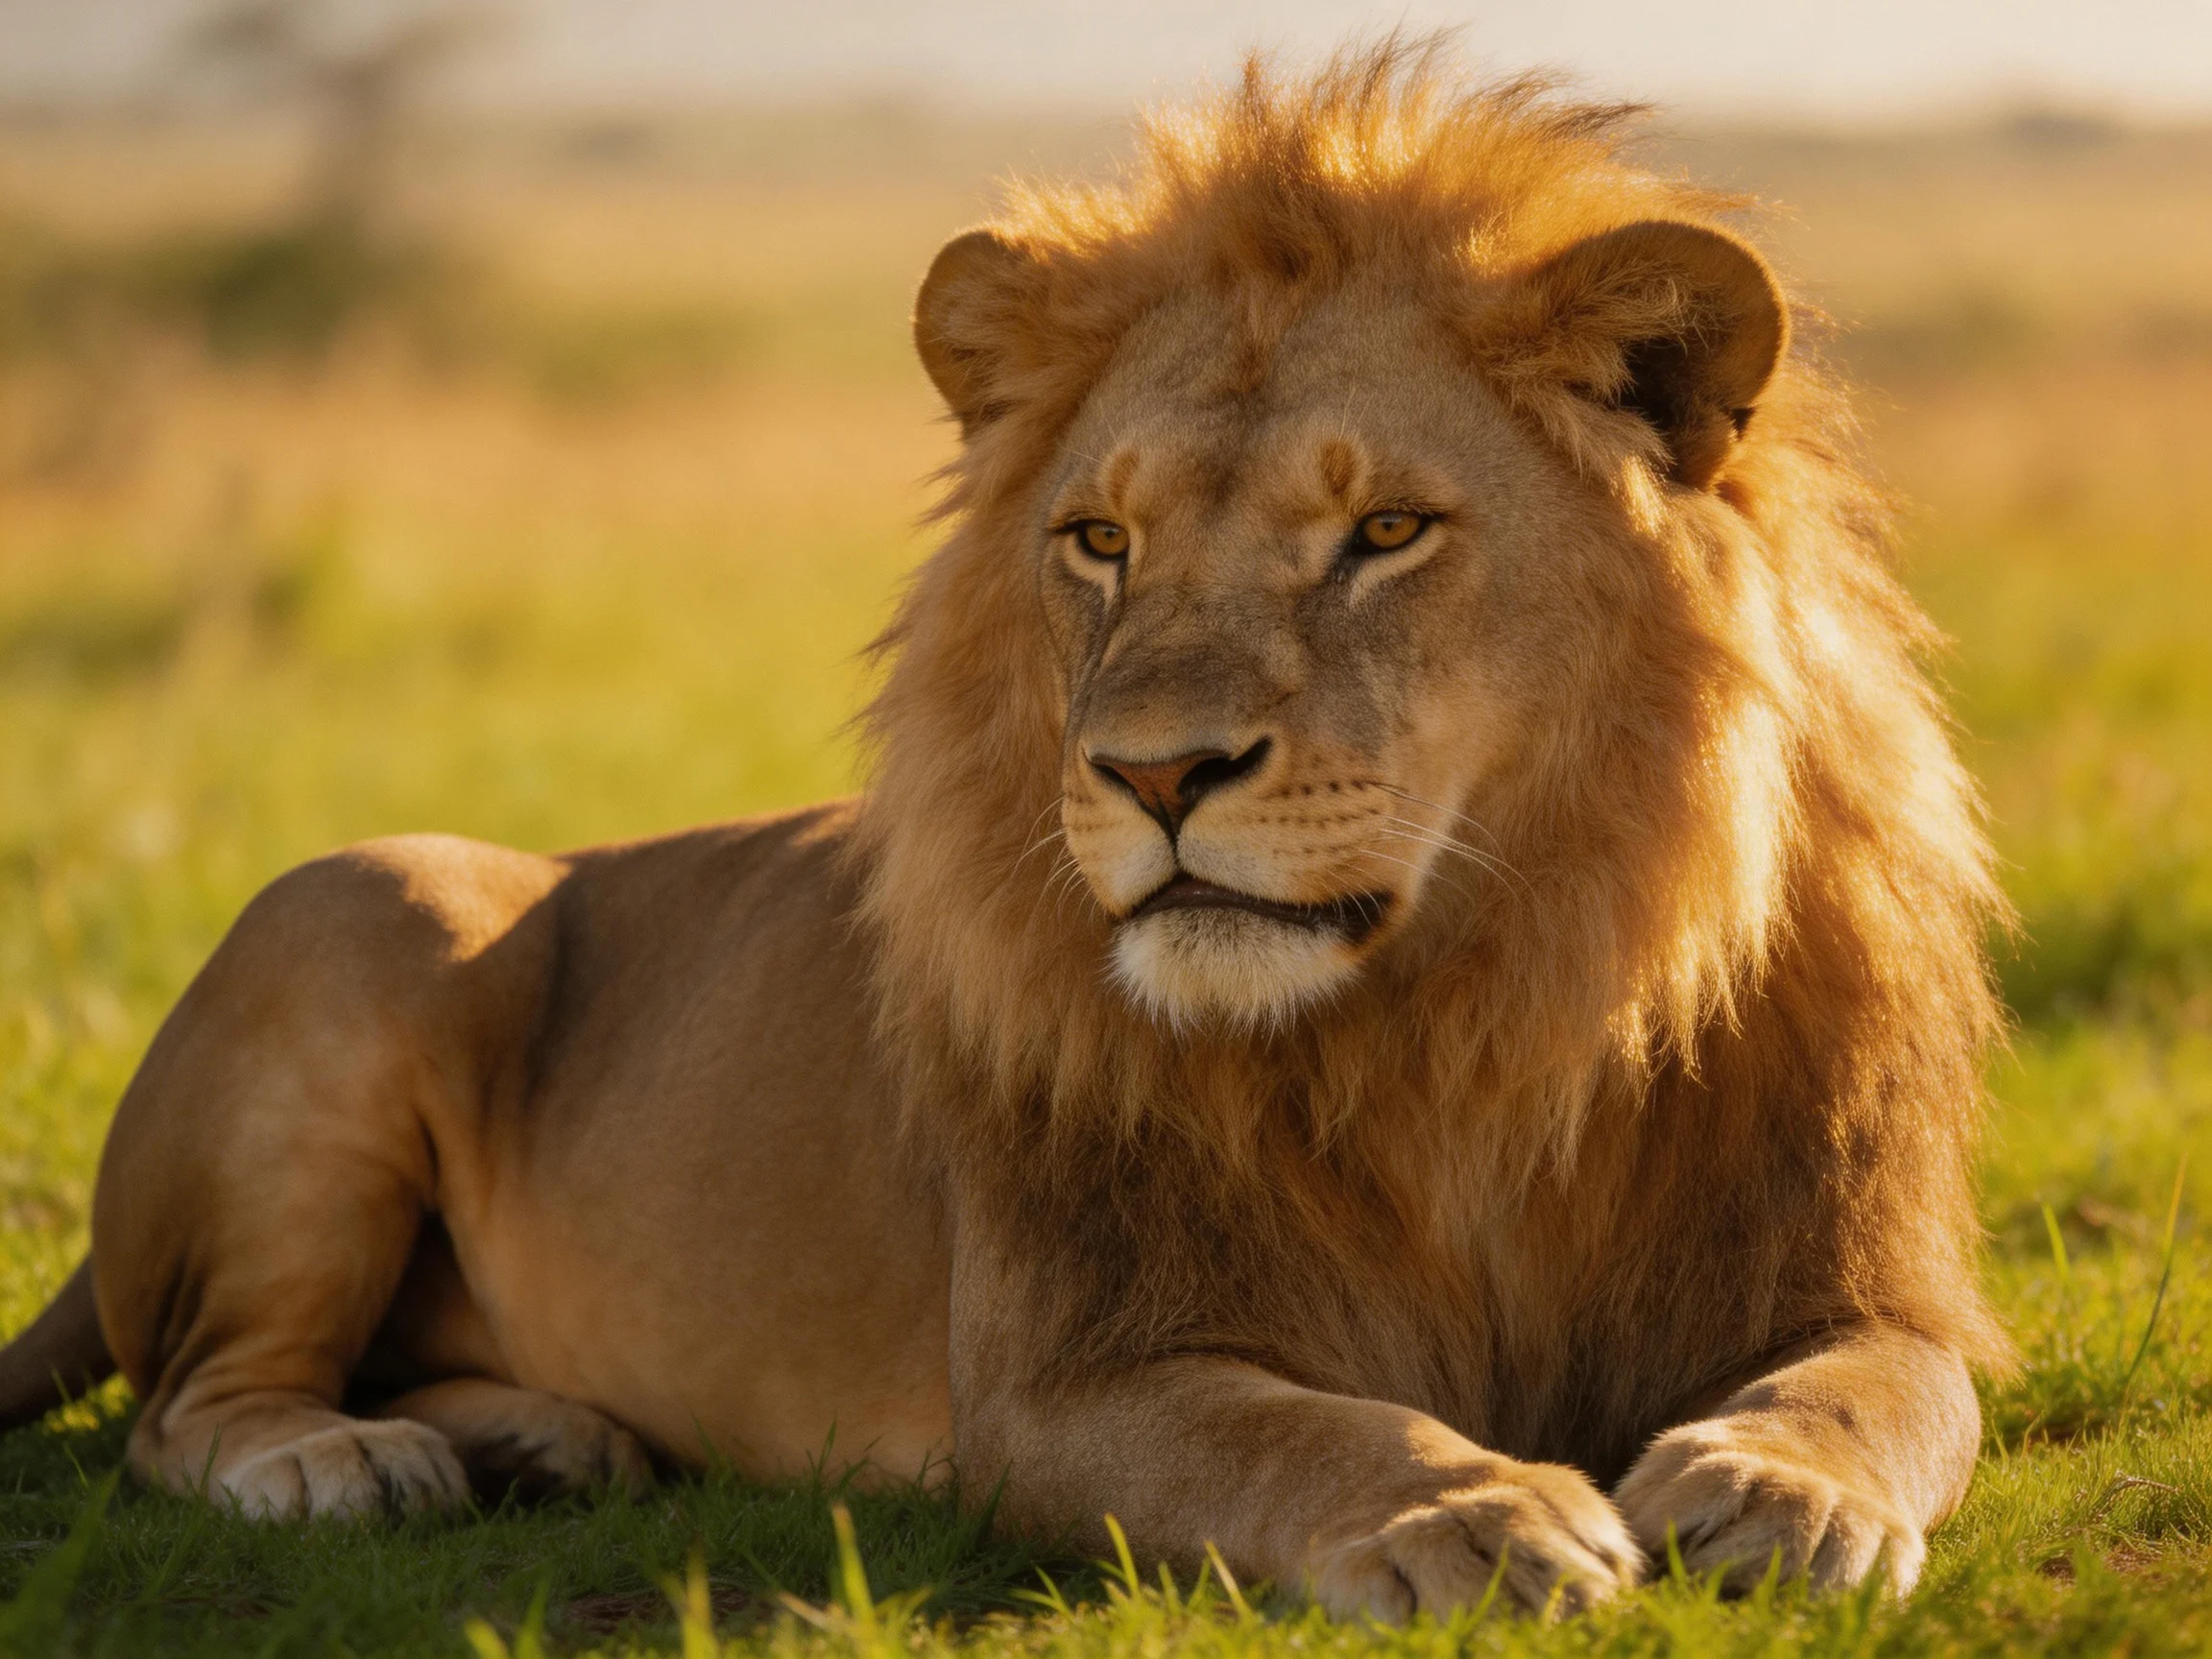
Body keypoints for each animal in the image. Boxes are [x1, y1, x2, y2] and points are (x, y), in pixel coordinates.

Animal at [0, 42, 2008, 1618]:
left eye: (1381, 533)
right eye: (1097, 540)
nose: (1154, 774)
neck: (1473, 1012)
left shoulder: (1868, 1272)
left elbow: (1889, 1388)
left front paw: (1776, 1489)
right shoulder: (1062, 1379)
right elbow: (1287, 1426)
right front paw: (1471, 1507)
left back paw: (545, 1435)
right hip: (360, 899)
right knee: (186, 1402)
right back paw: (341, 1463)